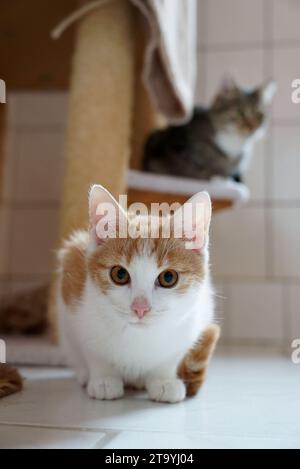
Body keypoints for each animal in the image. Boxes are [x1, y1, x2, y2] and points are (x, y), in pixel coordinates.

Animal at [55, 185, 218, 404]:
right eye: (120, 274)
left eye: (168, 277)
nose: (140, 308)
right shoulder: (75, 309)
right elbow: (93, 351)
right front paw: (104, 378)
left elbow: (170, 357)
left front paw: (163, 380)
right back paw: (84, 373)